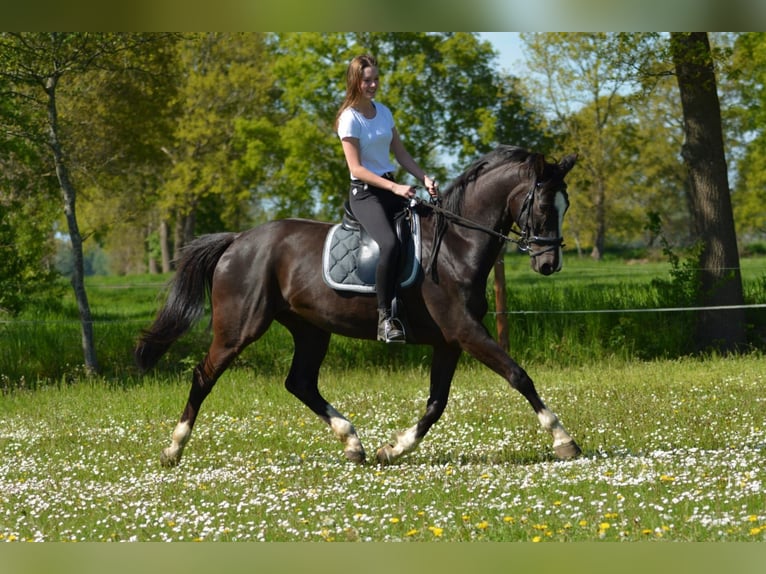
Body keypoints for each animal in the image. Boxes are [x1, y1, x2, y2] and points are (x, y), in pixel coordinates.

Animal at [136, 144, 584, 468]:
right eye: (545, 206)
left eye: (565, 206)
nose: (549, 263)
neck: (455, 246)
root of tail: (238, 240)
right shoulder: (466, 331)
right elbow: (518, 375)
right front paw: (564, 439)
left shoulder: (450, 341)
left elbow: (436, 403)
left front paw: (394, 448)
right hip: (238, 328)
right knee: (203, 376)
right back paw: (173, 450)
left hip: (310, 329)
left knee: (300, 382)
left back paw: (353, 442)